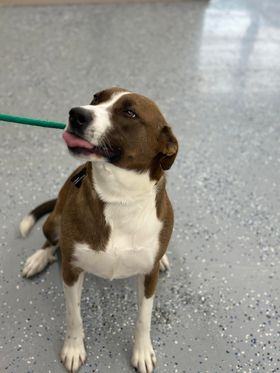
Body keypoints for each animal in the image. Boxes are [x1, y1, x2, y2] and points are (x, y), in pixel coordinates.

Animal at [19, 85, 178, 370]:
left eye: (130, 112)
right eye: (96, 98)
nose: (76, 114)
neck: (119, 198)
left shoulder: (149, 278)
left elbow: (144, 318)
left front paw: (142, 351)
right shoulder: (71, 270)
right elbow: (74, 316)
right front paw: (73, 348)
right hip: (54, 220)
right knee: (50, 240)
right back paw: (38, 258)